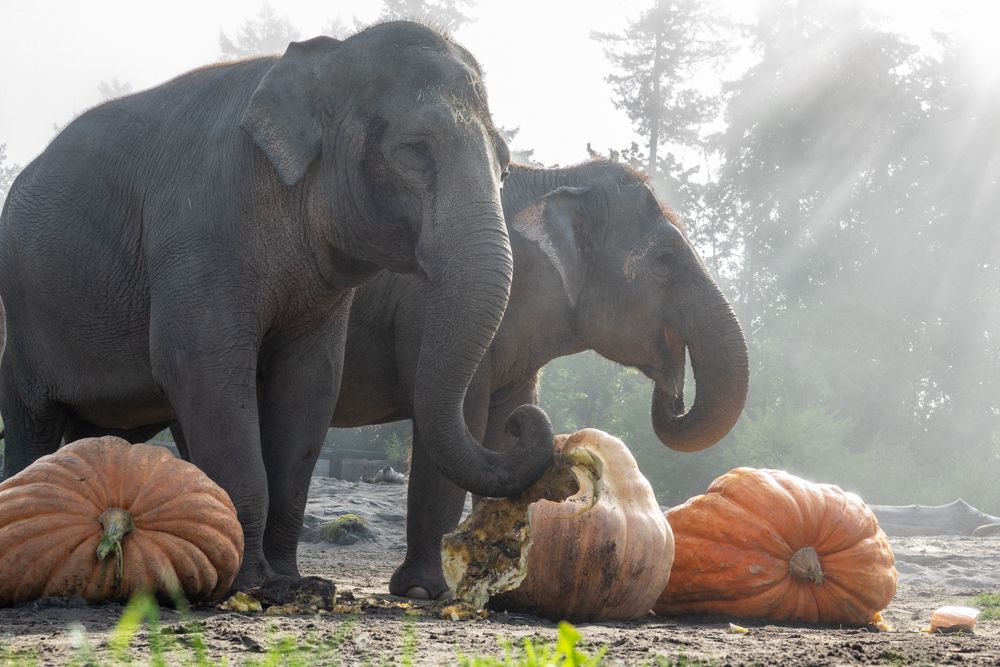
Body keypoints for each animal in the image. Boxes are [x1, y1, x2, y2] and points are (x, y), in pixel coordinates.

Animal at [0, 22, 556, 596]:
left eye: (506, 166)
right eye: (414, 150)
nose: (524, 422)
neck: (326, 60)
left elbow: (311, 383)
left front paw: (293, 584)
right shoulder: (201, 233)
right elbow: (201, 368)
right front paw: (248, 586)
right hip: (24, 317)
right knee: (32, 418)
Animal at [332, 159, 748, 596]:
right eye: (665, 259)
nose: (673, 391)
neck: (559, 178)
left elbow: (503, 428)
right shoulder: (432, 311)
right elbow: (458, 420)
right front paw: (426, 590)